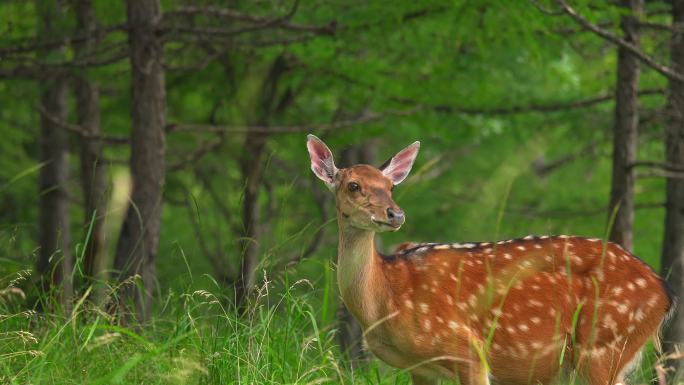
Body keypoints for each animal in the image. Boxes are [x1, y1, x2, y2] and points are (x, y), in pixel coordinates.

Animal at [308, 135, 676, 384]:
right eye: (353, 186)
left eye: (390, 187)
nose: (394, 214)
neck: (385, 299)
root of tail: (665, 293)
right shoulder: (421, 369)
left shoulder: (468, 349)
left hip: (603, 345)